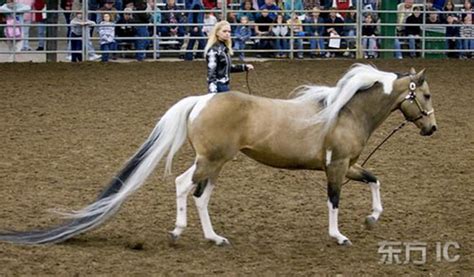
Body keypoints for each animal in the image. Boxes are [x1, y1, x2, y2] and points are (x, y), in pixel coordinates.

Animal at [0, 63, 436, 245]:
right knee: (183, 187)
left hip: (218, 162)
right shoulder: (337, 167)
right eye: (427, 96)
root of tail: (201, 100)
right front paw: (339, 235)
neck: (345, 111)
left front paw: (372, 218)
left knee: (201, 197)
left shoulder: (351, 166)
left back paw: (214, 237)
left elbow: (376, 181)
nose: (432, 129)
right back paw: (179, 231)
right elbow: (333, 202)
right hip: (209, 160)